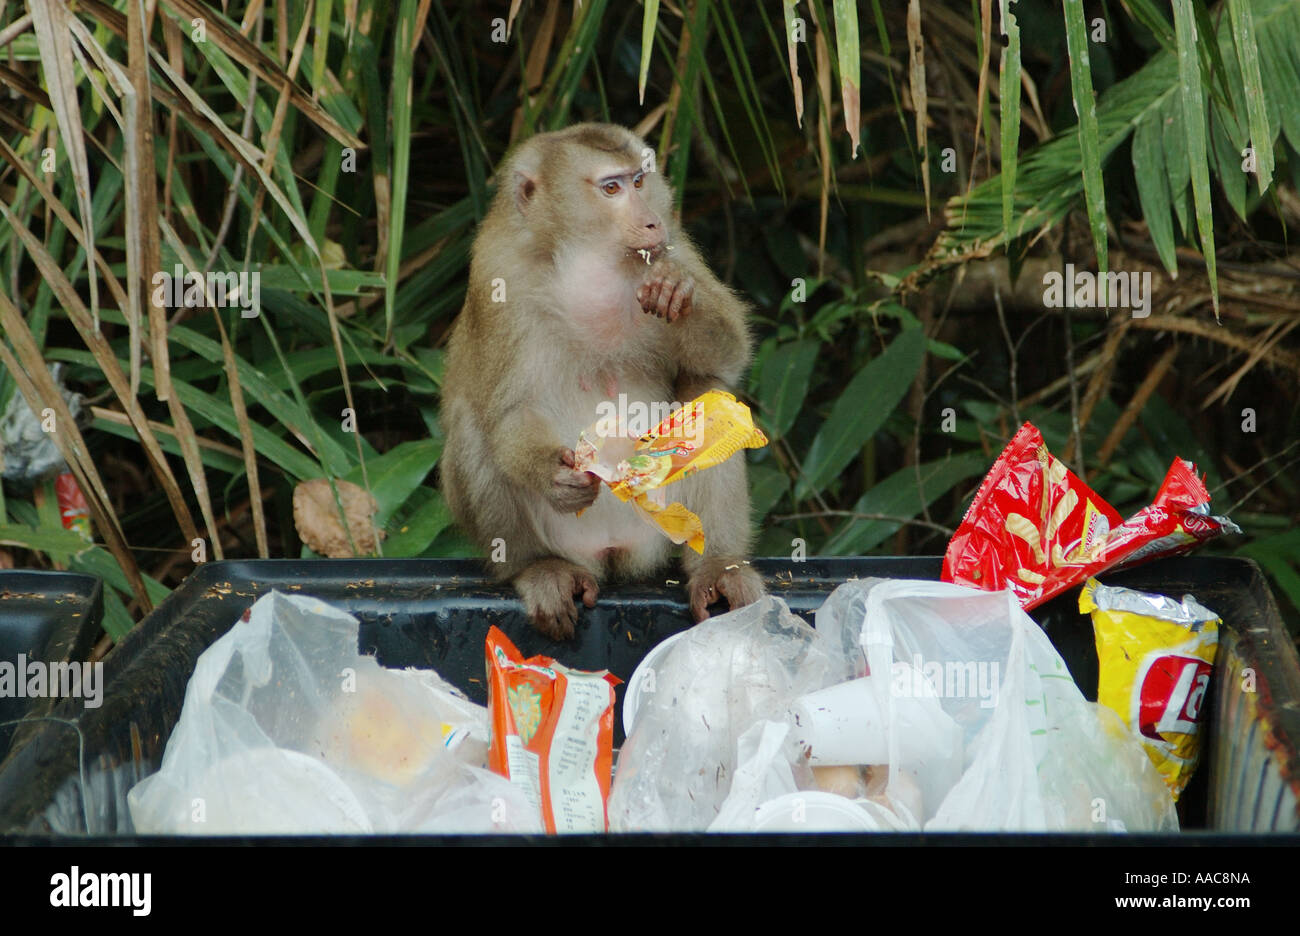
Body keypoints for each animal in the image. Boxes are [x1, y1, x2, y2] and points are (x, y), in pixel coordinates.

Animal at [444, 122, 764, 637]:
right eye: (611, 188)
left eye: (639, 181)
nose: (651, 222)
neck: (590, 259)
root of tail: (611, 551)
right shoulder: (498, 274)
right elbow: (506, 412)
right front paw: (553, 474)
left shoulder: (674, 248)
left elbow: (723, 365)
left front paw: (680, 293)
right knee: (472, 425)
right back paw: (538, 567)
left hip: (663, 524)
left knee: (705, 394)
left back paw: (718, 568)